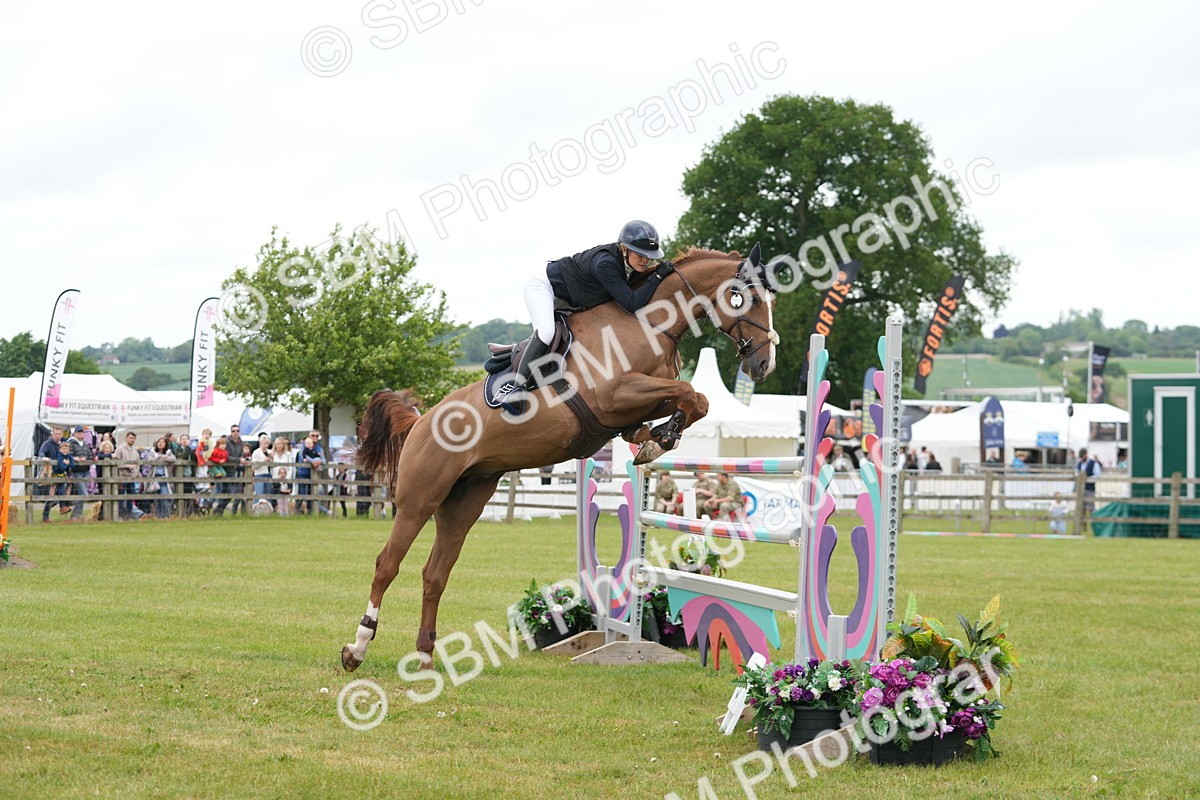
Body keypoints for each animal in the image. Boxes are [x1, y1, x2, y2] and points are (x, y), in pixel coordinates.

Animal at [340, 244, 782, 671]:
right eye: (746, 298)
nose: (764, 365)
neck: (650, 323)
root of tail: (419, 422)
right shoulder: (616, 394)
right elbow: (692, 393)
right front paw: (660, 438)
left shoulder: (642, 396)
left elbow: (693, 400)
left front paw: (656, 437)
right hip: (420, 498)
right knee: (387, 564)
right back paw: (357, 648)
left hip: (464, 502)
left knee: (435, 574)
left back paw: (426, 656)